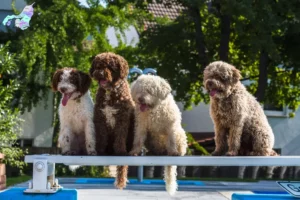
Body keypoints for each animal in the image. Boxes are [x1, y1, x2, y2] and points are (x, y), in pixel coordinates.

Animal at [89, 51, 135, 189]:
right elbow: (101, 137)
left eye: (110, 66)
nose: (100, 73)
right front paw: (100, 150)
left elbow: (120, 137)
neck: (110, 92)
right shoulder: (100, 118)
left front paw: (120, 151)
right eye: (98, 66)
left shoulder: (122, 119)